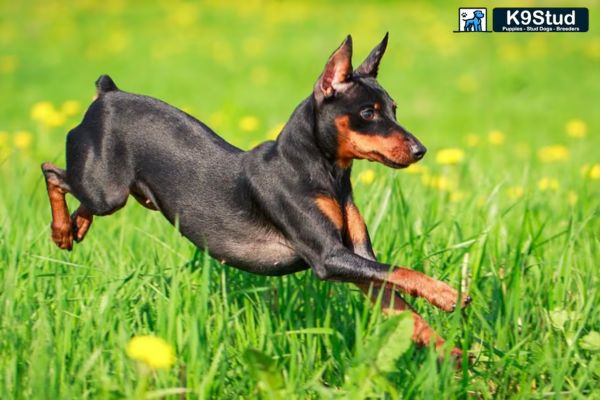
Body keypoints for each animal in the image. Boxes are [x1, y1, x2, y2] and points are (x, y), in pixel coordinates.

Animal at [43, 34, 474, 358]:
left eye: (394, 109)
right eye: (368, 113)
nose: (420, 150)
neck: (324, 174)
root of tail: (107, 94)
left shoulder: (360, 260)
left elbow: (404, 307)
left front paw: (451, 352)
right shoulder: (329, 258)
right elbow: (402, 271)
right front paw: (448, 294)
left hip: (112, 191)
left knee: (77, 194)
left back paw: (76, 228)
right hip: (107, 192)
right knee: (52, 172)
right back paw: (61, 231)